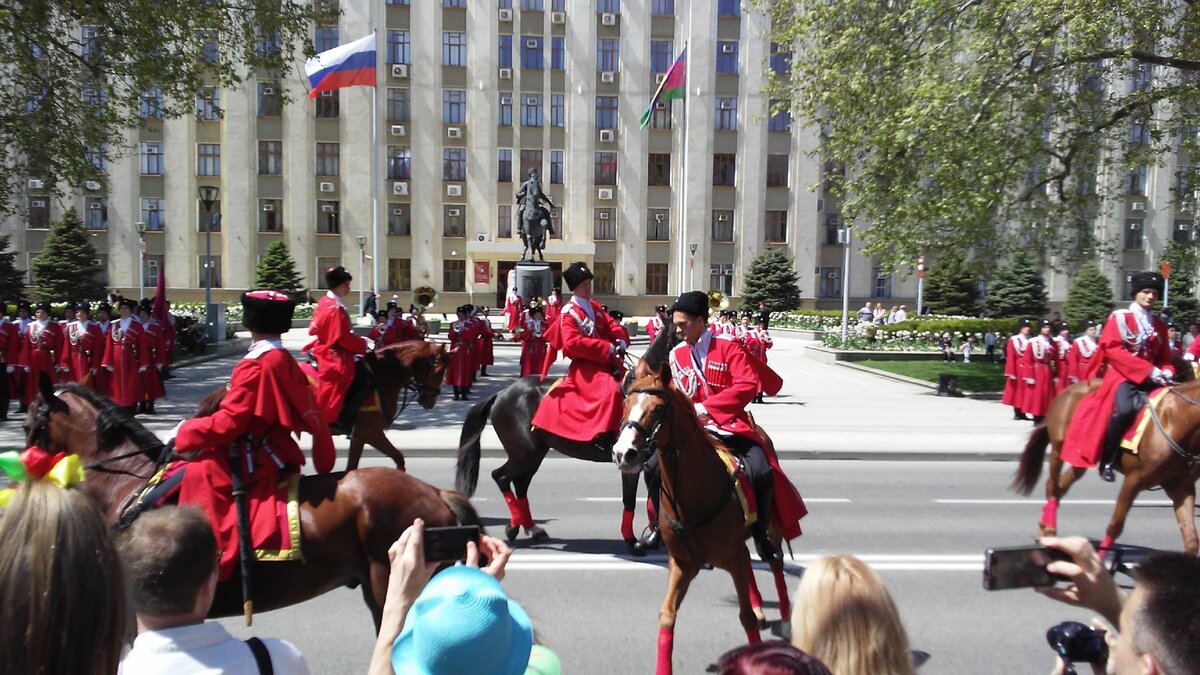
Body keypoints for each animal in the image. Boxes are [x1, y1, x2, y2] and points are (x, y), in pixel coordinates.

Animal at [453, 317, 681, 542]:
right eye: (679, 337)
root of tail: (501, 394)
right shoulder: (630, 462)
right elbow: (630, 500)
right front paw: (633, 539)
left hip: (535, 453)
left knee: (520, 483)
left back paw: (529, 527)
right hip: (523, 453)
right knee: (501, 477)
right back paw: (516, 525)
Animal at [614, 362, 792, 672]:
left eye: (658, 408)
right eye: (626, 403)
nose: (624, 453)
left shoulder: (732, 556)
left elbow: (745, 617)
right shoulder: (683, 564)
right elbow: (667, 615)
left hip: (771, 527)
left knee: (775, 561)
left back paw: (784, 616)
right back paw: (761, 607)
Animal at [1017, 360, 1200, 554]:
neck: (1174, 422)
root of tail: (1067, 390)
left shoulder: (1181, 487)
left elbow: (1191, 539)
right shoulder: (1133, 481)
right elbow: (1115, 525)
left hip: (1081, 457)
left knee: (1060, 486)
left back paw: (1044, 530)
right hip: (1058, 450)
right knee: (1052, 486)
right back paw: (1049, 531)